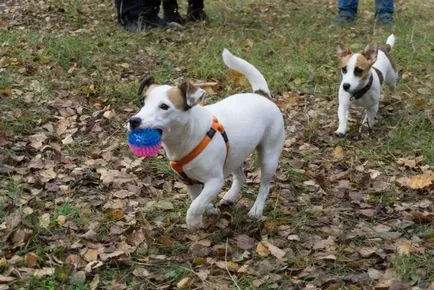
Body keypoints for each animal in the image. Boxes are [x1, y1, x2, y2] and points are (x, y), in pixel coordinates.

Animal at [129, 49, 284, 231]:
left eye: (164, 106)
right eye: (142, 102)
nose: (133, 121)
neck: (187, 136)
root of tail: (262, 95)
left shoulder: (215, 181)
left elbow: (195, 206)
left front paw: (194, 222)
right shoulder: (189, 181)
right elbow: (197, 200)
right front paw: (208, 209)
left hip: (269, 156)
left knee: (265, 186)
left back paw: (257, 209)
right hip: (235, 154)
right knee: (240, 177)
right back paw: (230, 197)